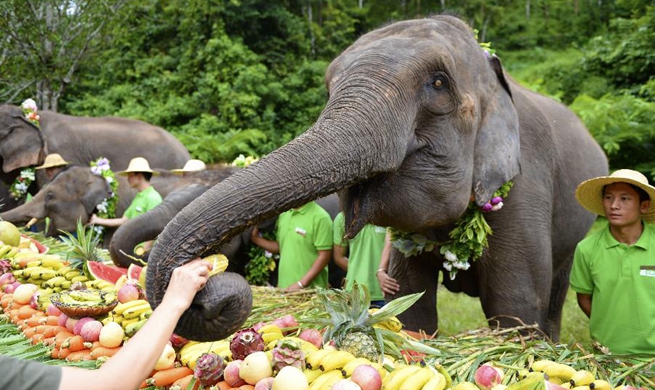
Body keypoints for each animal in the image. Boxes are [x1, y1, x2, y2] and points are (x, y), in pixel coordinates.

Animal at [144, 15, 608, 342]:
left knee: (553, 296)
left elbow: (515, 305)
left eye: (438, 83)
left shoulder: (526, 187)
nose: (209, 283)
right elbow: (410, 302)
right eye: (329, 87)